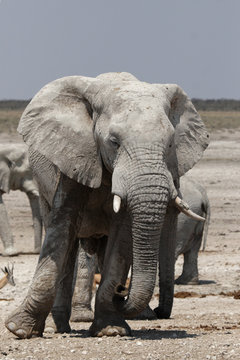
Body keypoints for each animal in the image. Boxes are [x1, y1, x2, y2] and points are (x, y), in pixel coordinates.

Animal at [4, 71, 209, 338]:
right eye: (114, 141)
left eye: (171, 143)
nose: (122, 290)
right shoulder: (77, 154)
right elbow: (63, 225)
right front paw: (19, 329)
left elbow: (121, 238)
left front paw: (112, 330)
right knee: (68, 244)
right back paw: (57, 327)